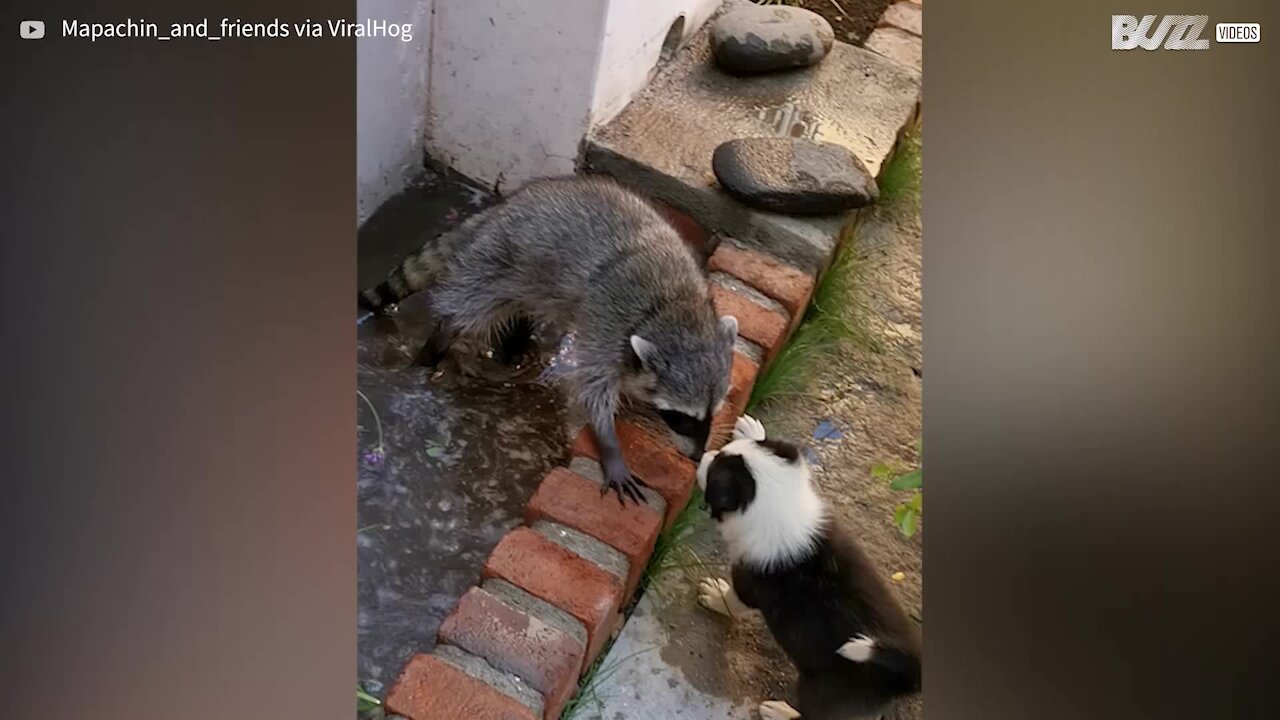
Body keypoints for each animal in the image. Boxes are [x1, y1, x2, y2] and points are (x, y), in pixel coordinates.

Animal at [360, 174, 742, 502]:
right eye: (682, 417)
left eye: (711, 414)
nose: (697, 457)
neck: (675, 310)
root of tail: (501, 209)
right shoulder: (606, 320)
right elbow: (593, 387)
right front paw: (609, 443)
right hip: (501, 258)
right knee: (469, 307)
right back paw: (437, 343)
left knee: (524, 307)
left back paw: (516, 342)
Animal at [701, 415, 921, 717]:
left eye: (713, 469)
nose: (704, 455)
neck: (782, 508)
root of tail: (908, 678)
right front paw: (752, 430)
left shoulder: (747, 585)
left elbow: (733, 602)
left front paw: (714, 595)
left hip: (819, 689)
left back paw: (780, 712)